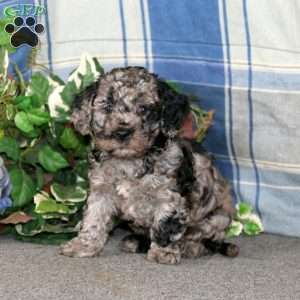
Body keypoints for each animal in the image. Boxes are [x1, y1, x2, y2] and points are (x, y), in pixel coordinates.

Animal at [60, 67, 239, 264]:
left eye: (144, 108)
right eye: (107, 107)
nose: (122, 132)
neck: (129, 161)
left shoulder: (170, 195)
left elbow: (166, 224)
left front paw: (163, 252)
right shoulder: (101, 191)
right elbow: (93, 219)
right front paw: (83, 246)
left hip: (218, 219)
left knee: (205, 239)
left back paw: (190, 247)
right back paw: (135, 242)